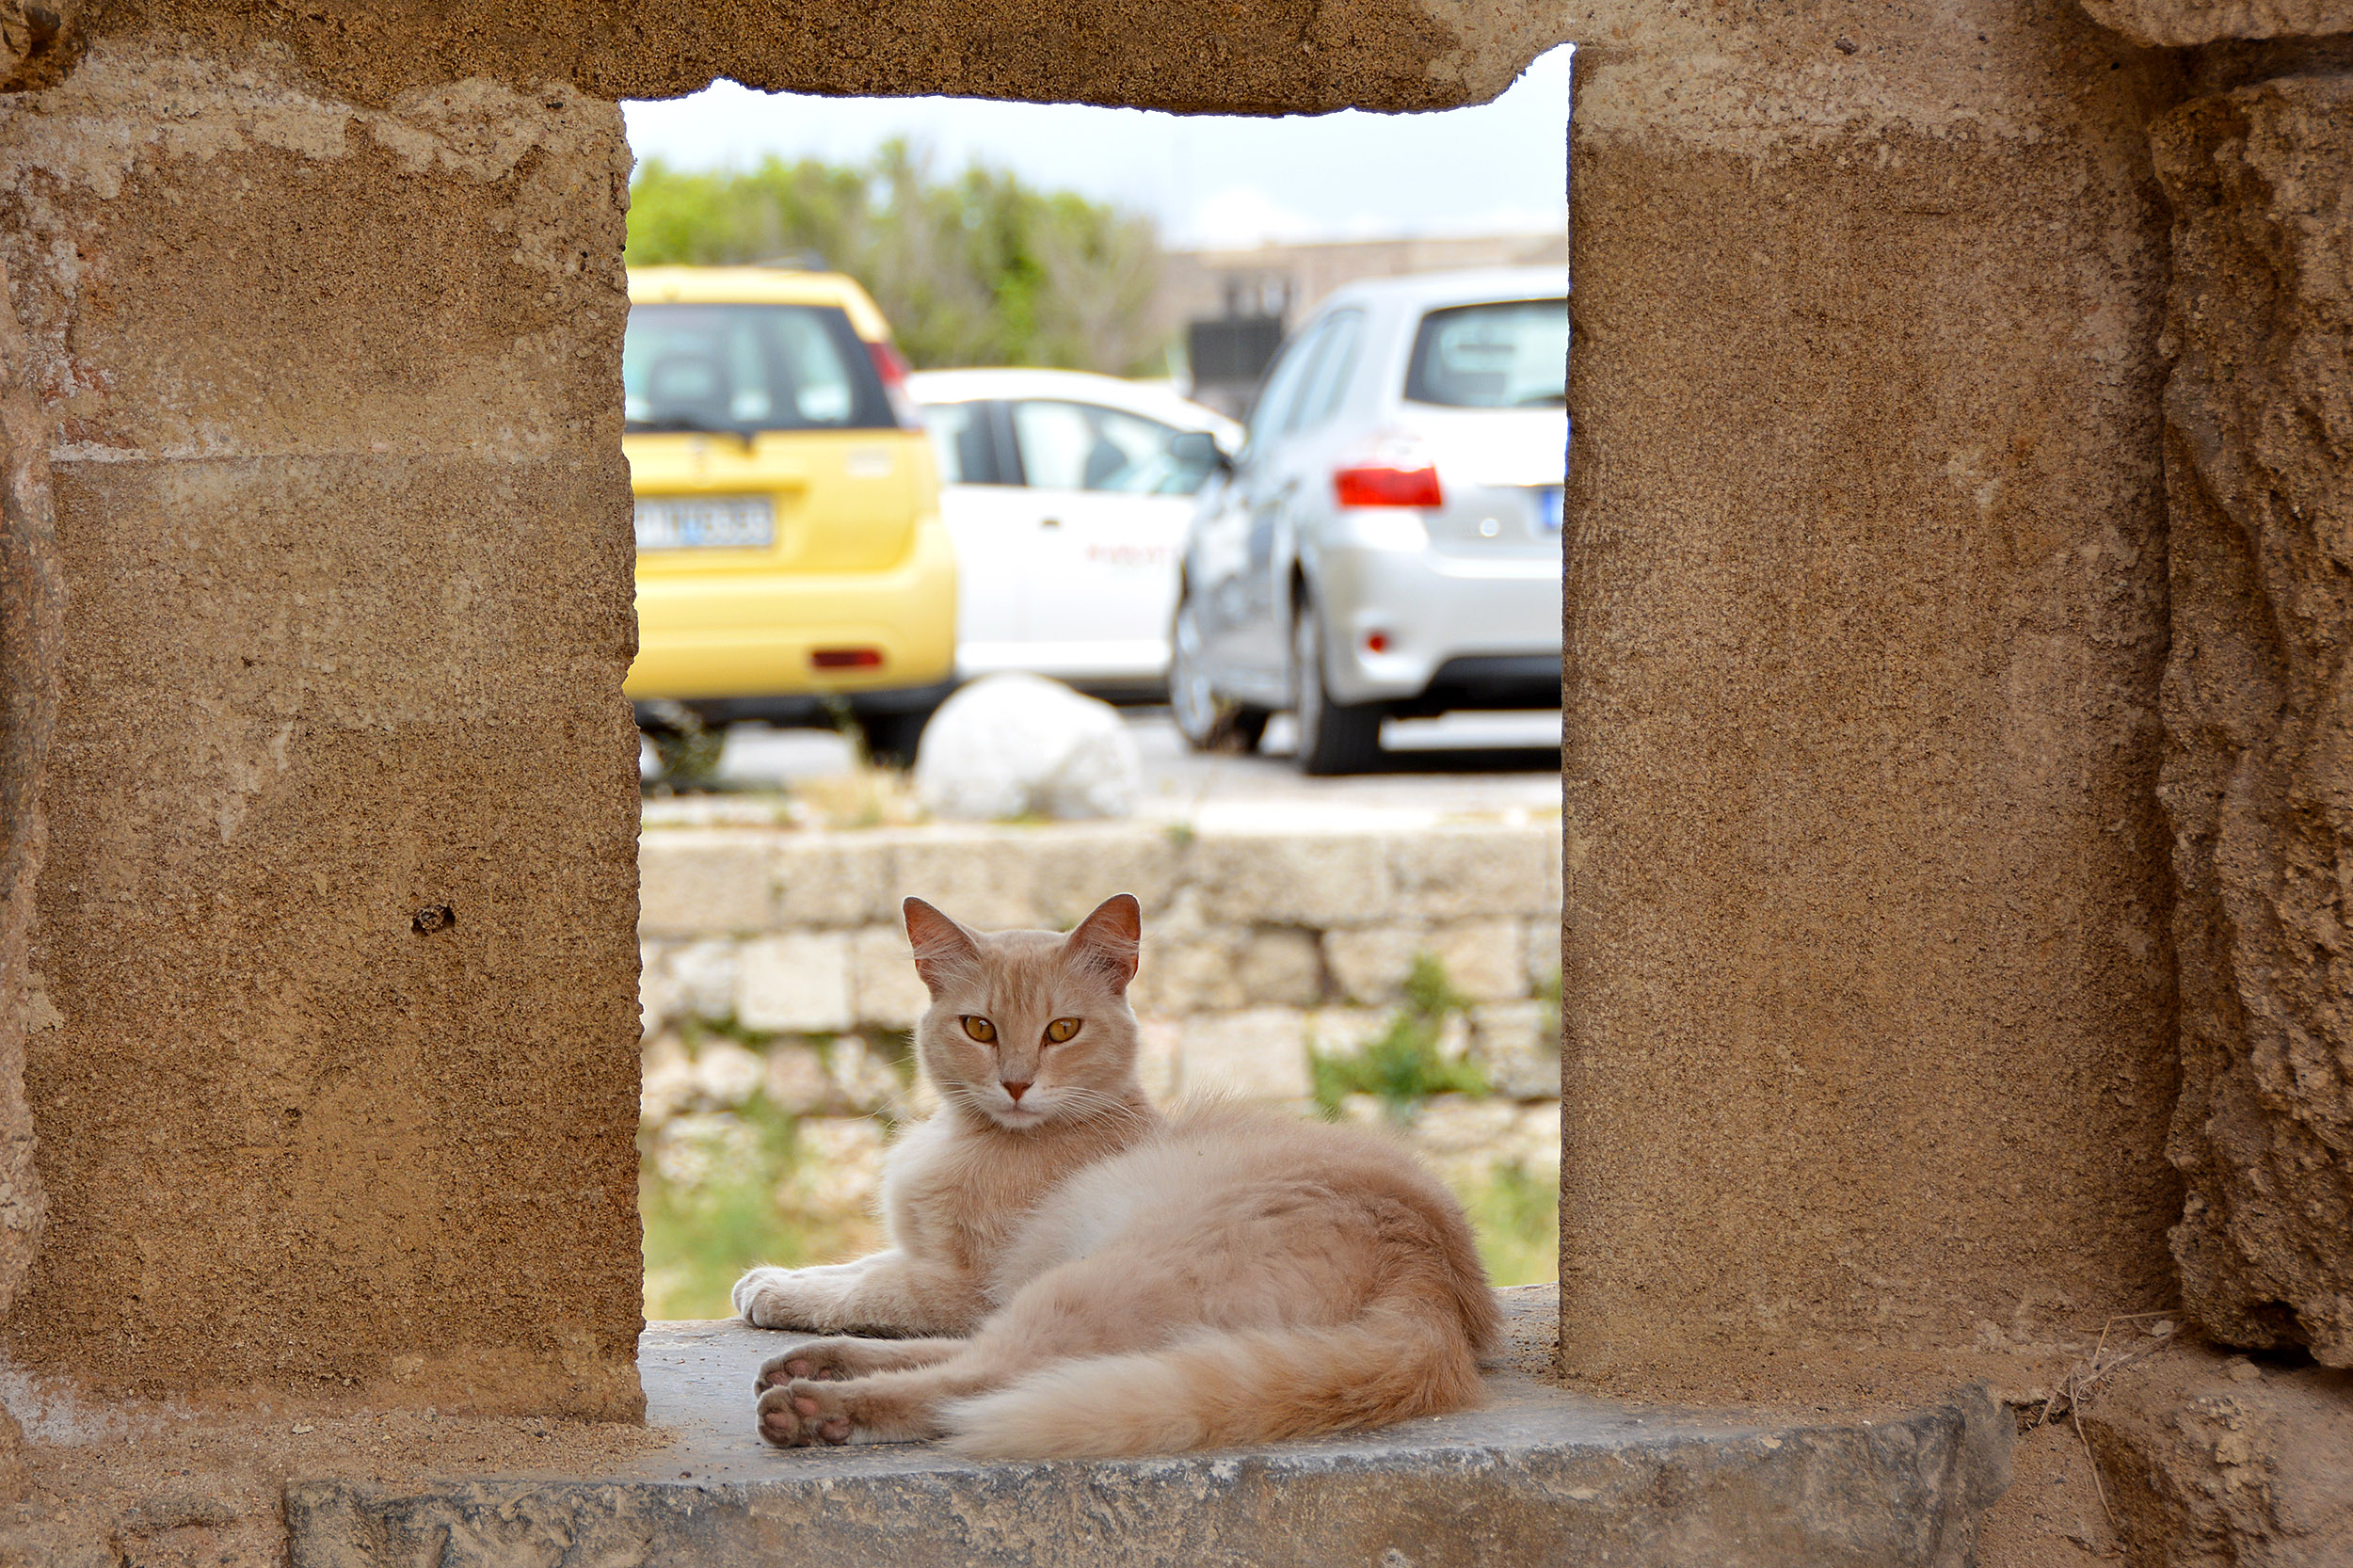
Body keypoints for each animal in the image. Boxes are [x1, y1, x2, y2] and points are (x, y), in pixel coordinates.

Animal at [734, 889, 1497, 1449]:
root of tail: (1431, 1285)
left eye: (1062, 1030)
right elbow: (861, 1265)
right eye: (979, 1028)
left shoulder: (969, 1281)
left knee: (983, 1378)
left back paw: (816, 1407)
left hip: (1090, 1282)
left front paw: (779, 1292)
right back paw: (820, 1362)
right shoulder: (946, 1264)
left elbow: (877, 1287)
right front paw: (774, 1279)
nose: (1016, 1084)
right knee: (980, 1360)